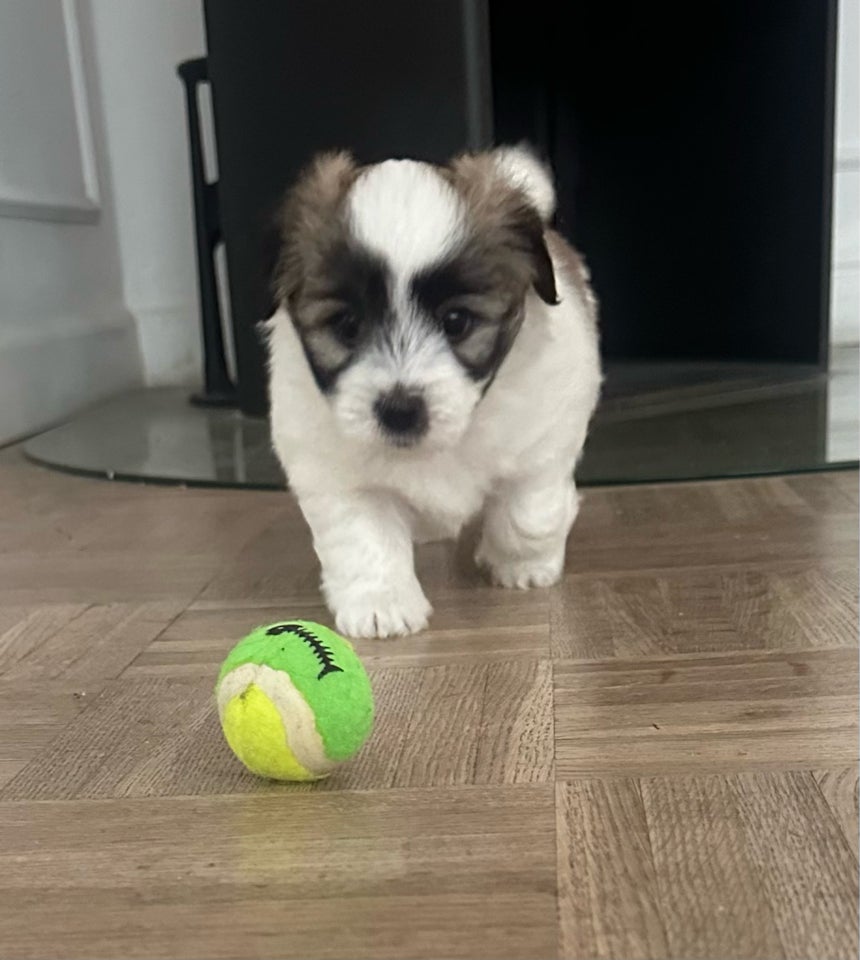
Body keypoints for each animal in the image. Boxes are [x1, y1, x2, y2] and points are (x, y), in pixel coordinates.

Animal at [266, 144, 600, 636]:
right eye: (347, 326)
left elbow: (530, 511)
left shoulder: (545, 434)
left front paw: (521, 565)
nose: (399, 409)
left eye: (456, 322)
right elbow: (363, 535)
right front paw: (381, 603)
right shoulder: (333, 469)